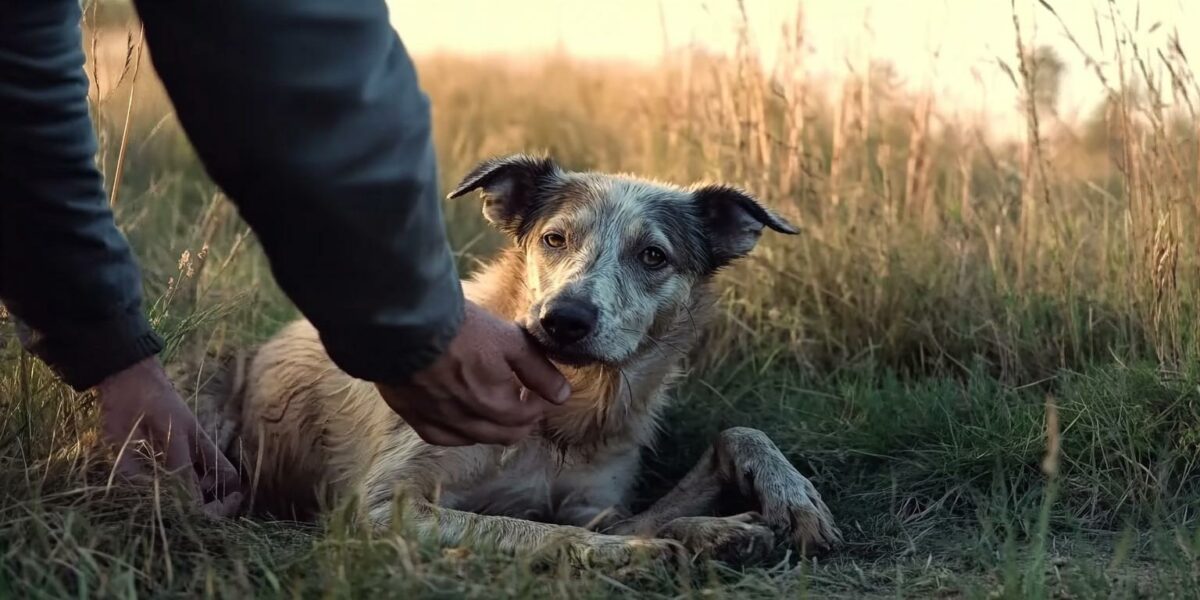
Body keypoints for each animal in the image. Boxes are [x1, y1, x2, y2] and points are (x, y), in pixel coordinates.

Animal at [187, 156, 844, 566]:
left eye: (653, 256)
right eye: (554, 239)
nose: (564, 319)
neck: (559, 416)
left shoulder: (597, 504)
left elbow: (732, 437)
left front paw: (772, 506)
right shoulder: (377, 506)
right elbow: (530, 528)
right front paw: (627, 554)